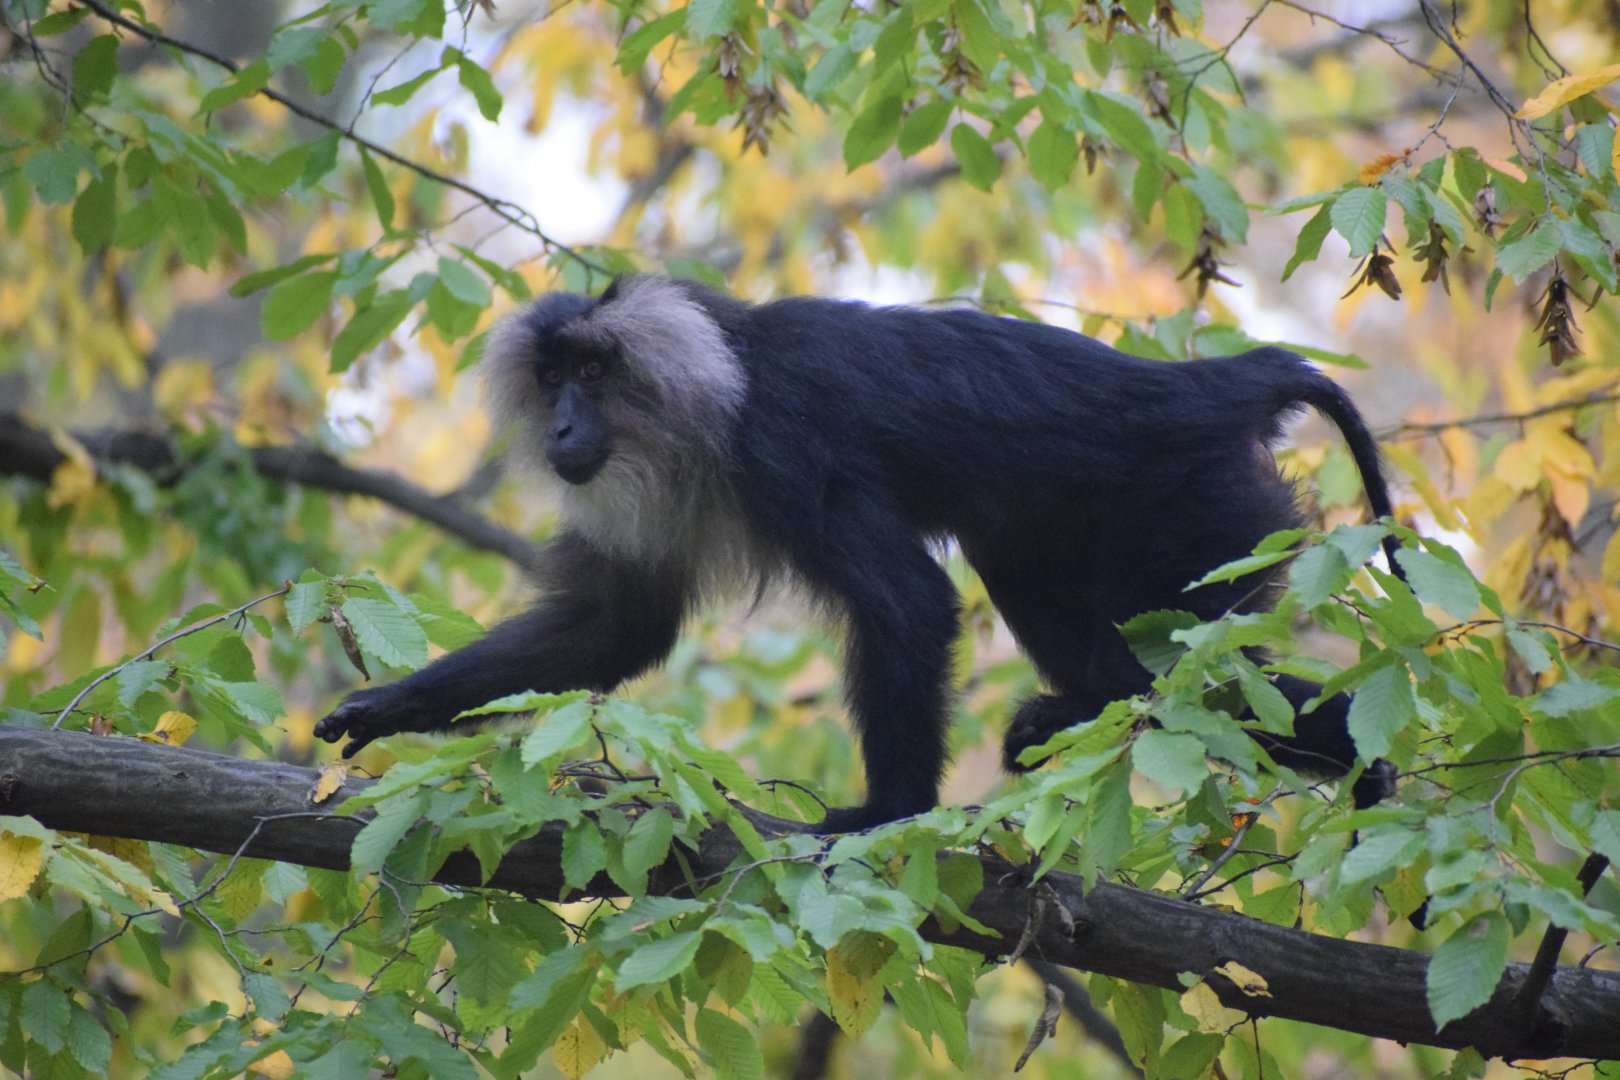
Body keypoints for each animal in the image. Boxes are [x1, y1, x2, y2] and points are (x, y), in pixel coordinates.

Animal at [315, 274, 1402, 832]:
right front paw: (391, 706)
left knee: (1167, 672)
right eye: (551, 379)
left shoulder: (783, 447)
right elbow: (615, 627)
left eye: (594, 371)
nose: (564, 430)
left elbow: (909, 603)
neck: (721, 381)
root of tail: (1224, 384)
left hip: (1199, 514)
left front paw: (890, 813)